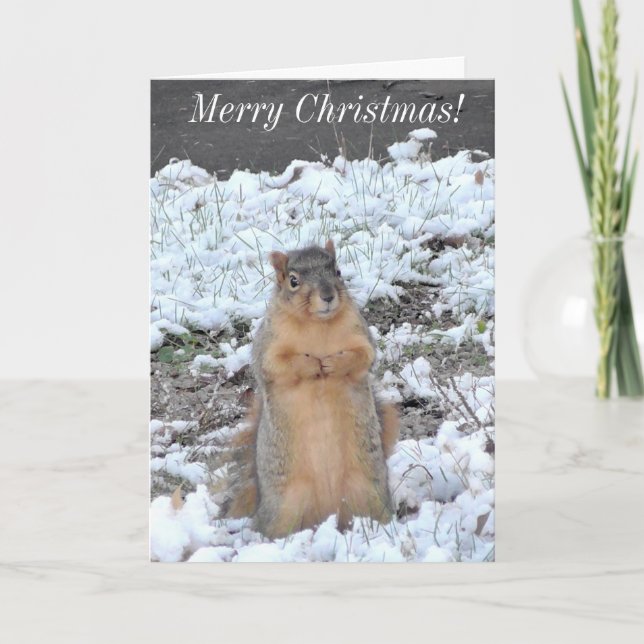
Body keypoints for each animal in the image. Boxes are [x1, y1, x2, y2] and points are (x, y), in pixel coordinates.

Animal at [220, 240, 399, 539]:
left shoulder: (360, 334)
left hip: (365, 492)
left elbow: (364, 356)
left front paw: (333, 363)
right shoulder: (269, 345)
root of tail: (328, 515)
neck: (317, 324)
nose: (327, 296)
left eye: (338, 271)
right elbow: (277, 366)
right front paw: (312, 364)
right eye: (293, 281)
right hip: (287, 504)